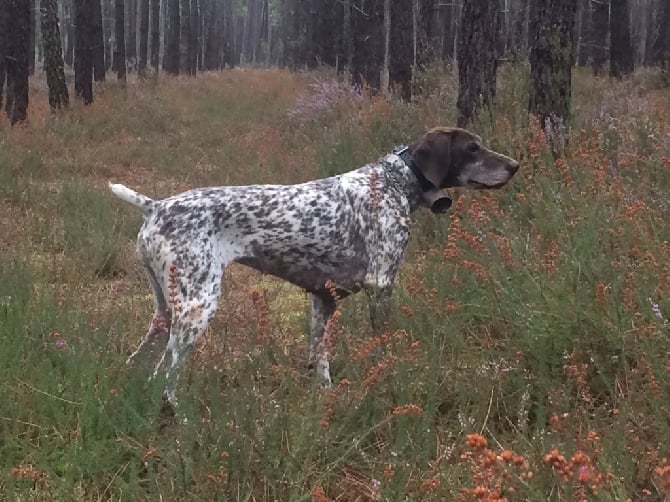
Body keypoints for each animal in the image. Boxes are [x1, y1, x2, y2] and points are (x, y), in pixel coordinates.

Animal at [109, 126, 520, 404]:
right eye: (473, 148)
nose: (515, 165)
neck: (394, 183)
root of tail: (156, 206)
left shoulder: (323, 297)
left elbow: (319, 355)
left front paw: (323, 394)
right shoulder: (381, 284)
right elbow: (383, 345)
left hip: (166, 311)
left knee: (141, 362)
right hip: (198, 307)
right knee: (164, 377)